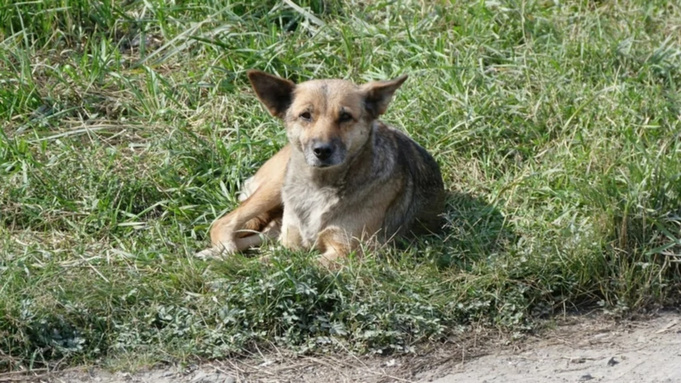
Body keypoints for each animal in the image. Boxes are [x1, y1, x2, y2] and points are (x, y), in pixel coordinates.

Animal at [194, 70, 444, 268]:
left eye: (345, 116)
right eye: (306, 115)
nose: (322, 150)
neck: (319, 187)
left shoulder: (347, 253)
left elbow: (282, 265)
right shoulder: (292, 245)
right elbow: (266, 264)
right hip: (274, 187)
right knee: (223, 224)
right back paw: (218, 254)